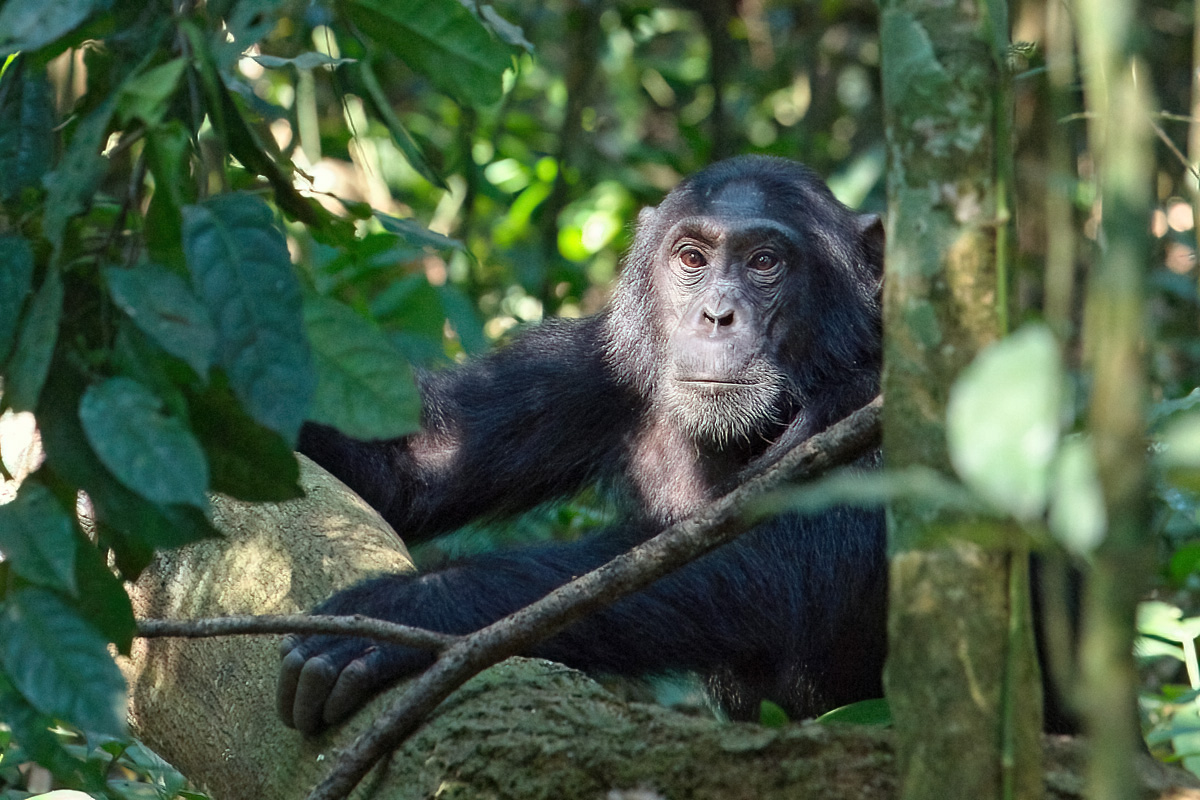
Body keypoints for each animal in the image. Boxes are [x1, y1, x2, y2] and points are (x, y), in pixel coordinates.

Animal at [276, 153, 888, 734]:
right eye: (692, 259)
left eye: (765, 262)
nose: (716, 315)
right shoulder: (590, 364)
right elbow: (416, 465)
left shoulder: (867, 403)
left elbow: (766, 548)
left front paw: (401, 612)